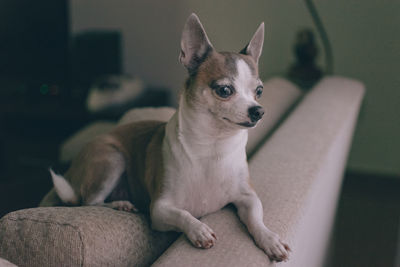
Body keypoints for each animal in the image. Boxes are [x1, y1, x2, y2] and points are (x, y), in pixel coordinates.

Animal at [40, 13, 290, 262]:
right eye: (225, 90)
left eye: (259, 91)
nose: (258, 111)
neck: (213, 145)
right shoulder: (159, 209)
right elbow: (183, 215)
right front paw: (199, 229)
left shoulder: (248, 197)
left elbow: (256, 219)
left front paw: (270, 239)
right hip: (112, 158)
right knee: (89, 201)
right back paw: (120, 204)